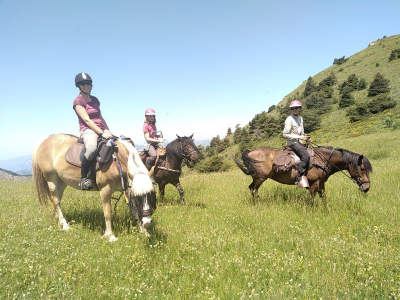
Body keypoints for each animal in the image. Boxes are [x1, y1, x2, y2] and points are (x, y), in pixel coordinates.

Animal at [233, 145, 374, 202]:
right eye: (362, 169)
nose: (367, 188)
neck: (322, 160)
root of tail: (250, 152)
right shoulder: (313, 183)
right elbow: (312, 199)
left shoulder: (321, 183)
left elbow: (323, 198)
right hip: (260, 178)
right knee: (253, 189)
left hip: (257, 178)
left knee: (252, 188)